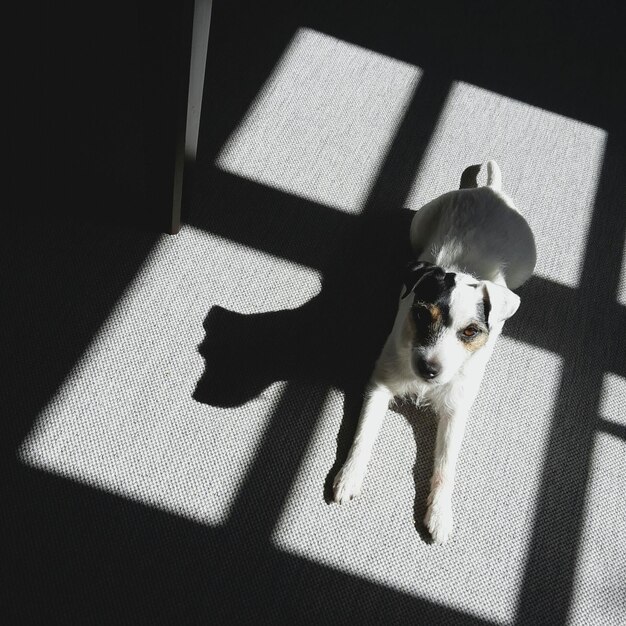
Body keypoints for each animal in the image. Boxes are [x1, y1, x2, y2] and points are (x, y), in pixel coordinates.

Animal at [332, 160, 536, 540]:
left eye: (470, 332)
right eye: (422, 314)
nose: (428, 370)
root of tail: (489, 190)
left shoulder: (456, 411)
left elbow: (445, 464)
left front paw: (439, 513)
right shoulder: (379, 386)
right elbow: (363, 435)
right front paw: (349, 476)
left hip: (526, 264)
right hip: (419, 224)